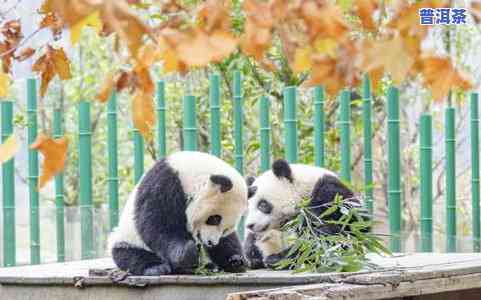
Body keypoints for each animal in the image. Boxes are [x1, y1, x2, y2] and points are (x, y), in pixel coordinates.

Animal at [108, 151, 248, 276]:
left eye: (226, 229)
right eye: (214, 219)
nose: (211, 242)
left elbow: (227, 240)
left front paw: (235, 260)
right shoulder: (165, 183)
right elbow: (157, 225)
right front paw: (186, 252)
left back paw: (208, 266)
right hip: (128, 238)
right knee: (130, 255)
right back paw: (157, 267)